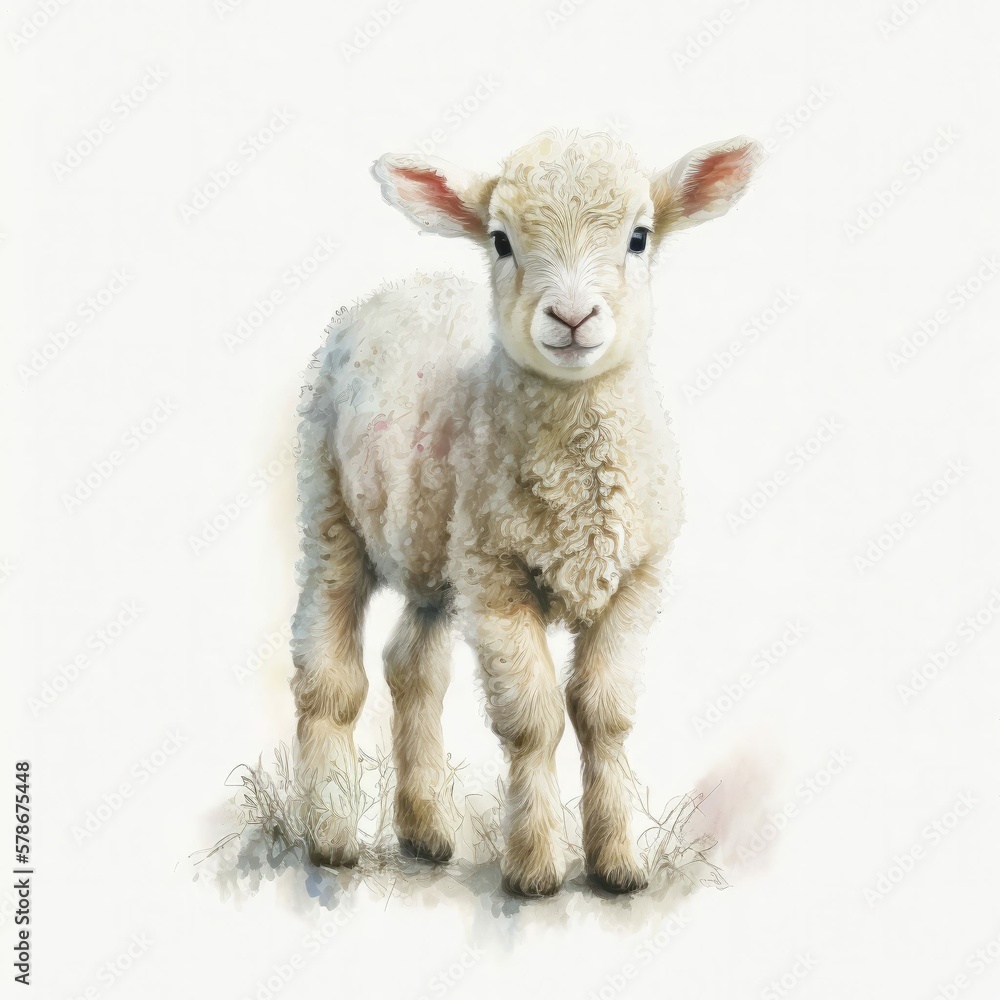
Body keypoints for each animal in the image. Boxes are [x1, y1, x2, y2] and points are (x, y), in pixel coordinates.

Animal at [291, 129, 760, 897]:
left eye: (639, 236)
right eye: (501, 241)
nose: (571, 318)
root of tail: (405, 286)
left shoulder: (635, 581)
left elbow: (605, 714)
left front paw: (617, 864)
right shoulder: (498, 580)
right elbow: (534, 721)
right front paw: (535, 868)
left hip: (437, 554)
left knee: (412, 667)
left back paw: (425, 831)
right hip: (331, 511)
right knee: (328, 676)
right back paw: (331, 836)